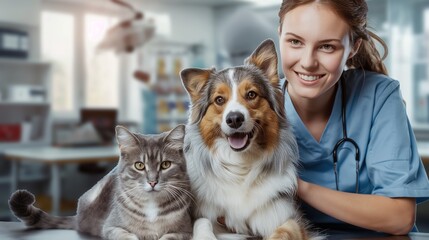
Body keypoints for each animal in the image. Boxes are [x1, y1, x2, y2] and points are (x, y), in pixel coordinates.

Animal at [7, 124, 192, 239]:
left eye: (165, 164)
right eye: (139, 165)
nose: (153, 182)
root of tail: (79, 218)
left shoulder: (184, 230)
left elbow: (171, 236)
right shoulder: (111, 227)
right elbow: (125, 235)